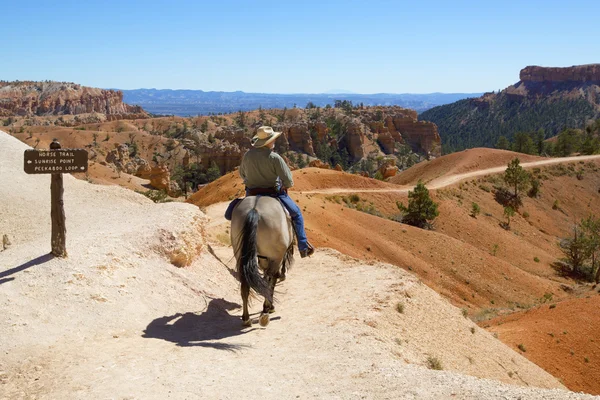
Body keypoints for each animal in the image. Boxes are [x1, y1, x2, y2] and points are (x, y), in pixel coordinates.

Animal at [231, 195, 294, 326]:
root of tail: (254, 209)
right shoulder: (275, 258)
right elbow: (271, 280)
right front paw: (269, 307)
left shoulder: (263, 258)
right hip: (275, 256)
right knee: (270, 280)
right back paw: (265, 312)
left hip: (240, 256)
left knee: (245, 283)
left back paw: (246, 318)